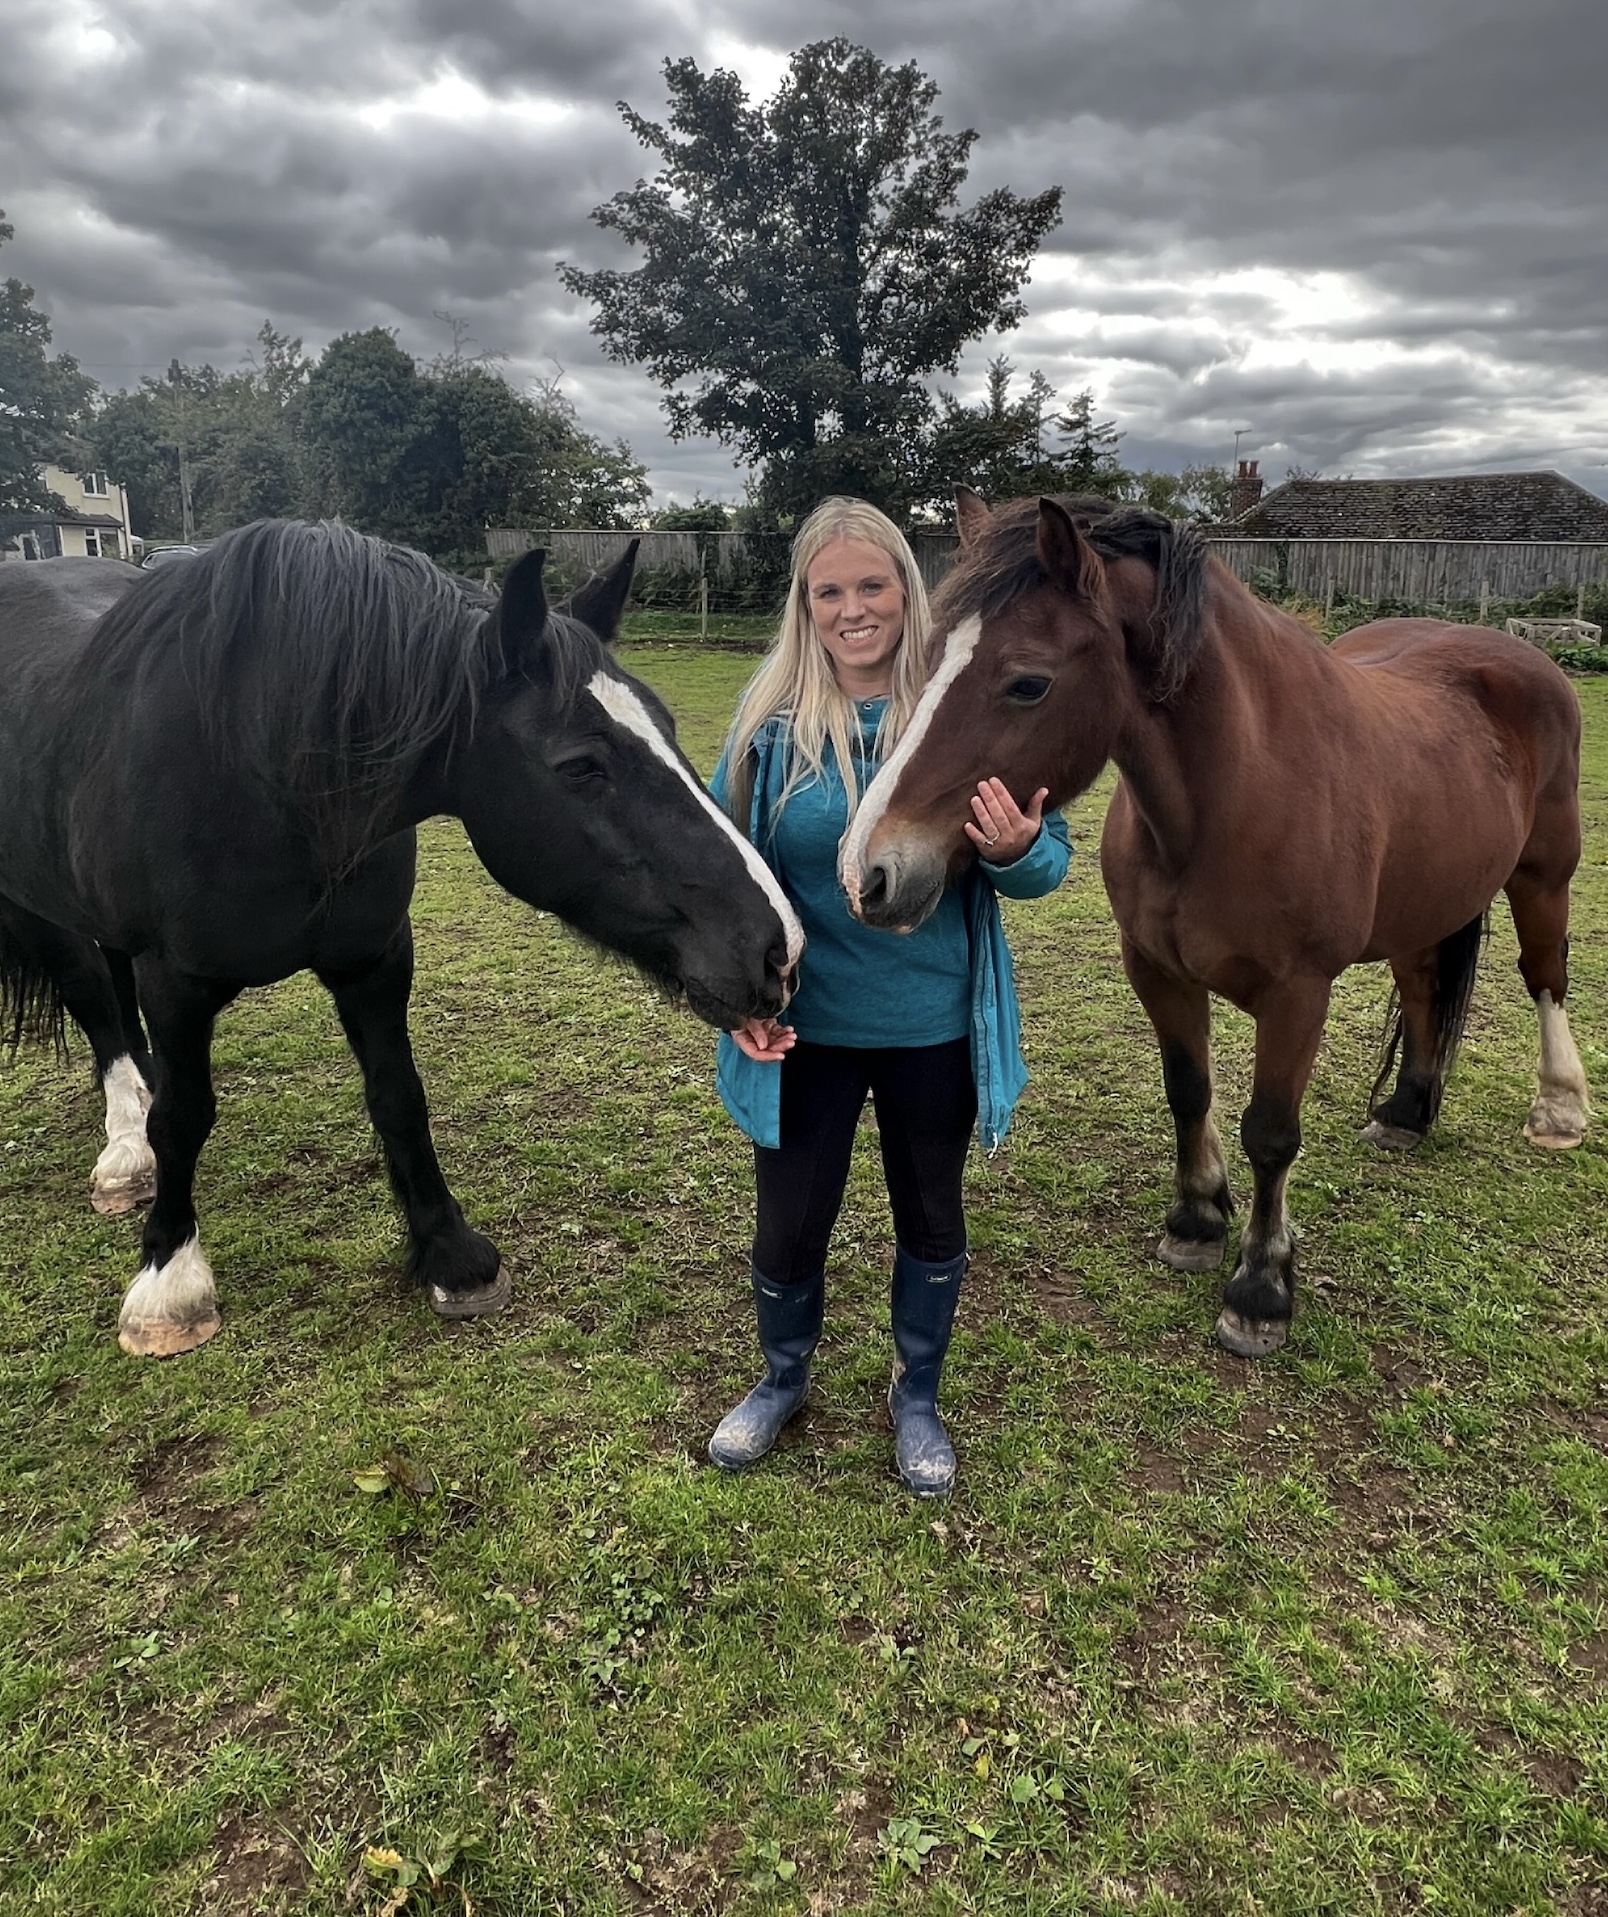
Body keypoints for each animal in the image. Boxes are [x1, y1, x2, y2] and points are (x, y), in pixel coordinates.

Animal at [0, 525, 804, 1357]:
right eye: (582, 765)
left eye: (669, 728)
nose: (778, 947)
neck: (262, 765)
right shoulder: (177, 978)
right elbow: (184, 1115)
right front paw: (169, 1279)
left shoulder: (375, 959)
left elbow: (398, 1095)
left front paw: (450, 1251)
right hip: (41, 914)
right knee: (98, 1007)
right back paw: (127, 1148)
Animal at [843, 494, 1586, 1364]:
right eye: (927, 662)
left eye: (1028, 682)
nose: (868, 871)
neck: (1233, 791)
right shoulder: (1155, 969)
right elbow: (1188, 1089)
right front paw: (1197, 1220)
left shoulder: (1299, 994)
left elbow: (1272, 1132)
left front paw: (1261, 1287)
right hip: (1425, 902)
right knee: (1425, 989)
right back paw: (1406, 1112)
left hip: (1543, 878)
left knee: (1545, 974)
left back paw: (1561, 1109)